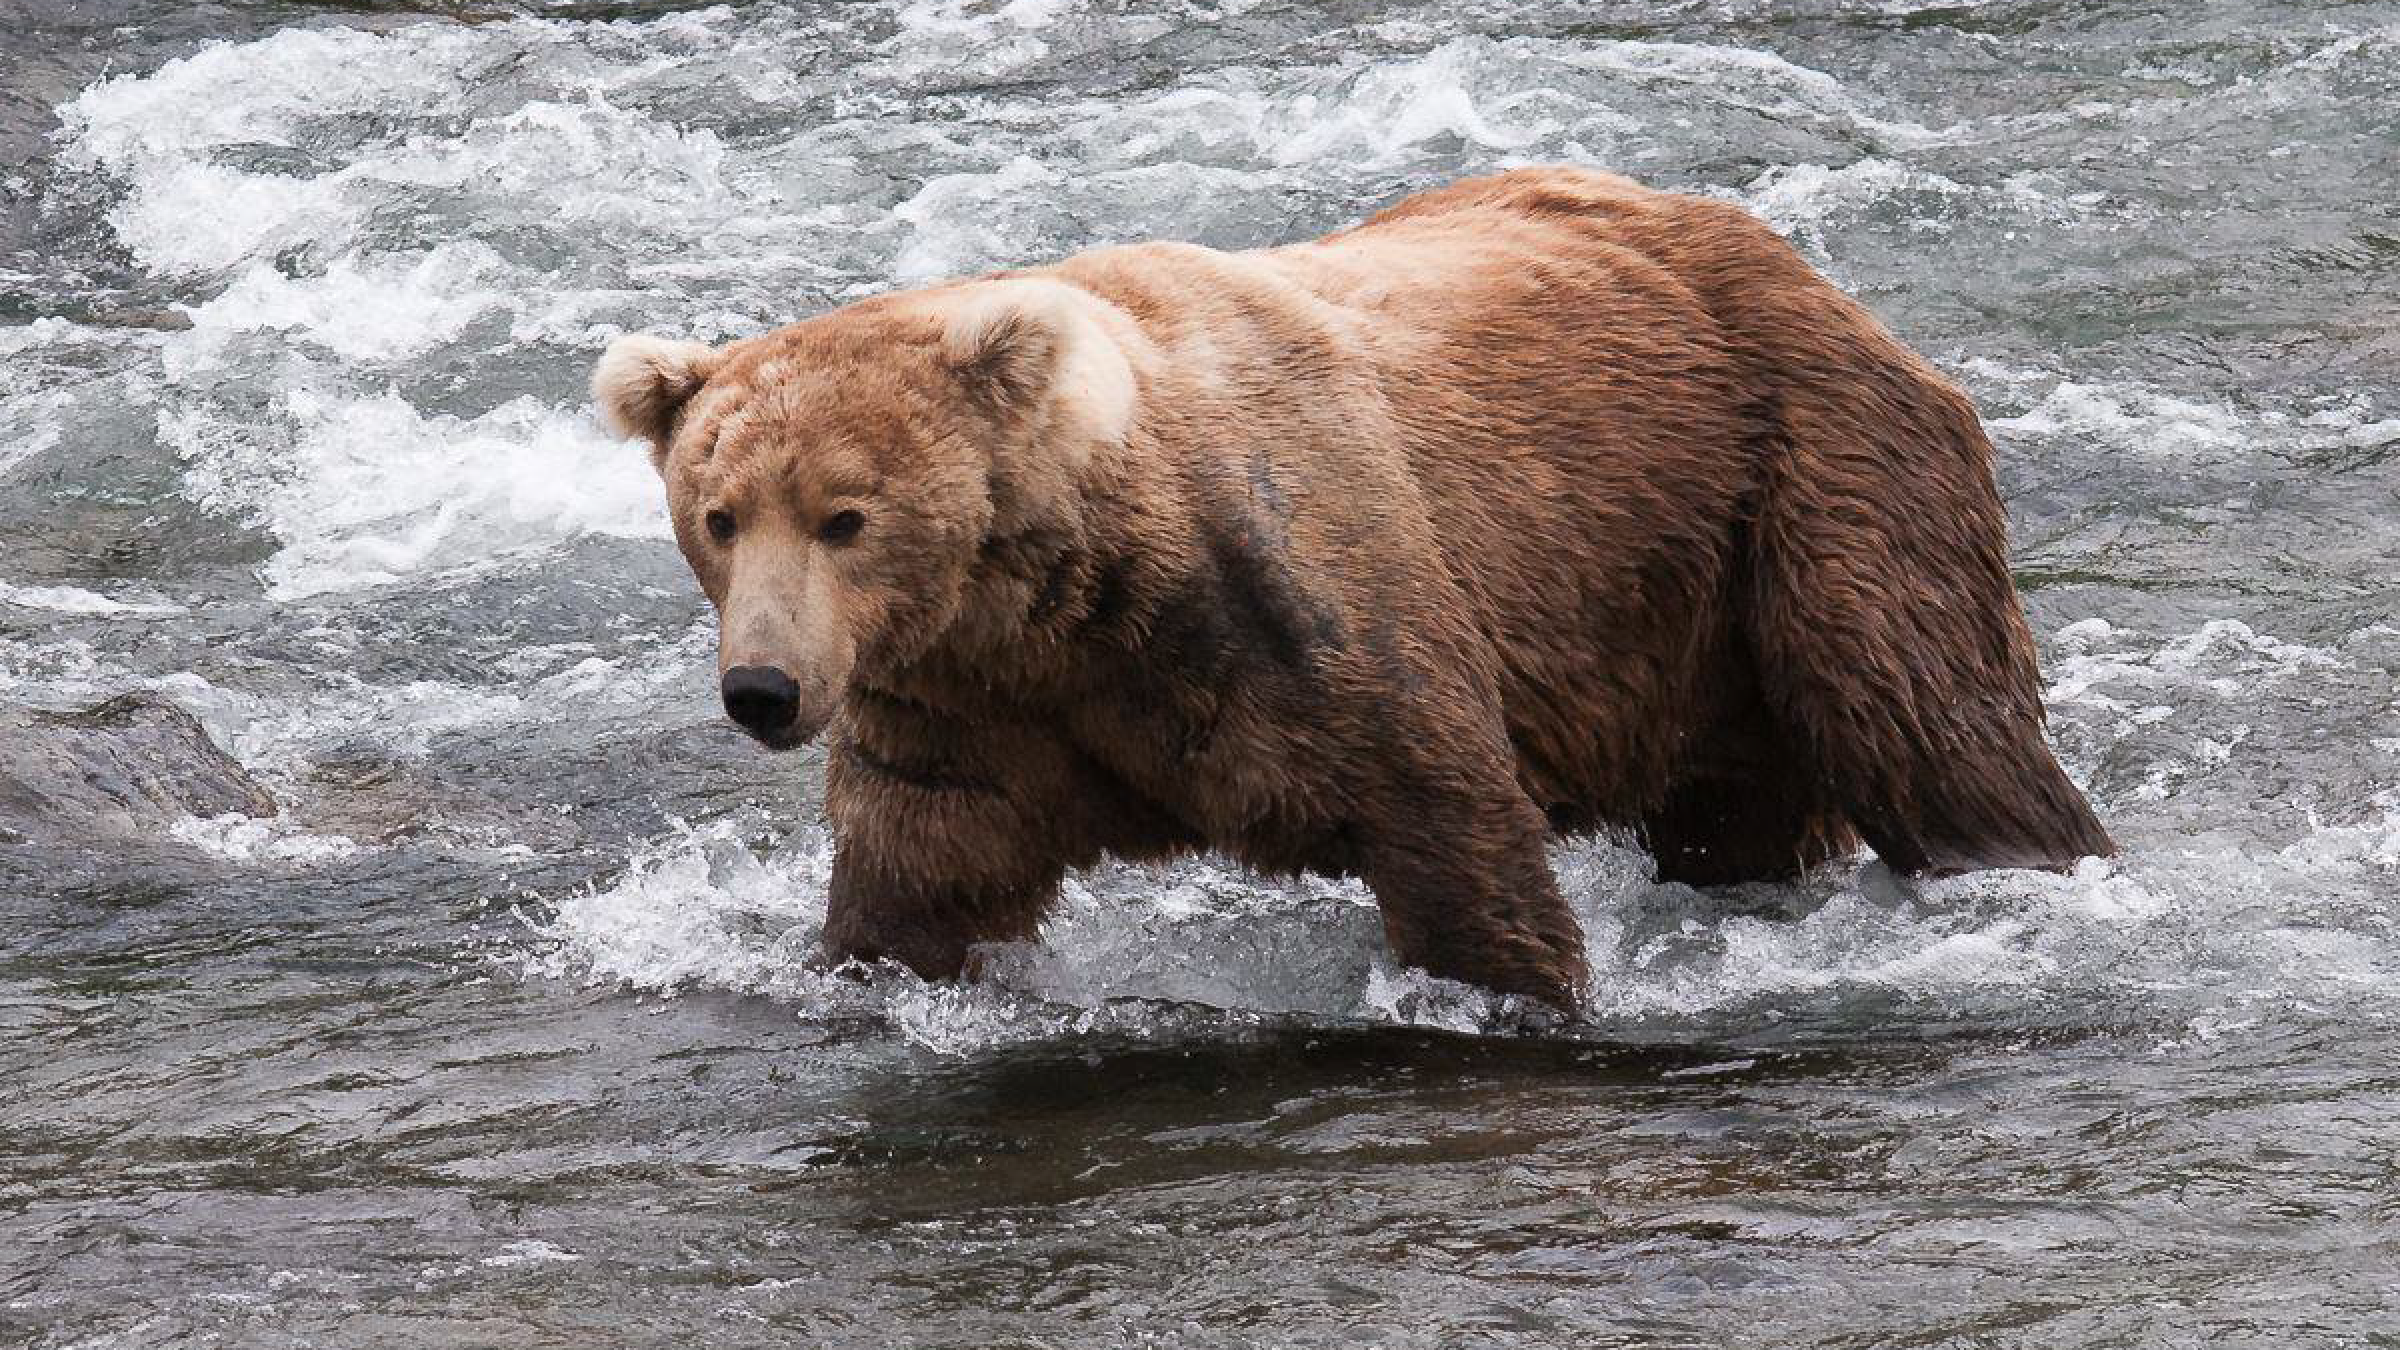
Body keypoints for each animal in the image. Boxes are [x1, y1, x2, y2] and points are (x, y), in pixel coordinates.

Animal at [592, 166, 2113, 1012]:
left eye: (845, 515)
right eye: (718, 514)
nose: (764, 688)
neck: (1088, 586)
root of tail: (1801, 263)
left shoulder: (1307, 603)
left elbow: (1447, 814)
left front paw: (1513, 991)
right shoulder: (972, 701)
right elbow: (922, 876)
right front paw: (863, 966)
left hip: (1795, 477)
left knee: (1923, 717)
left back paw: (2035, 867)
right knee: (1738, 800)